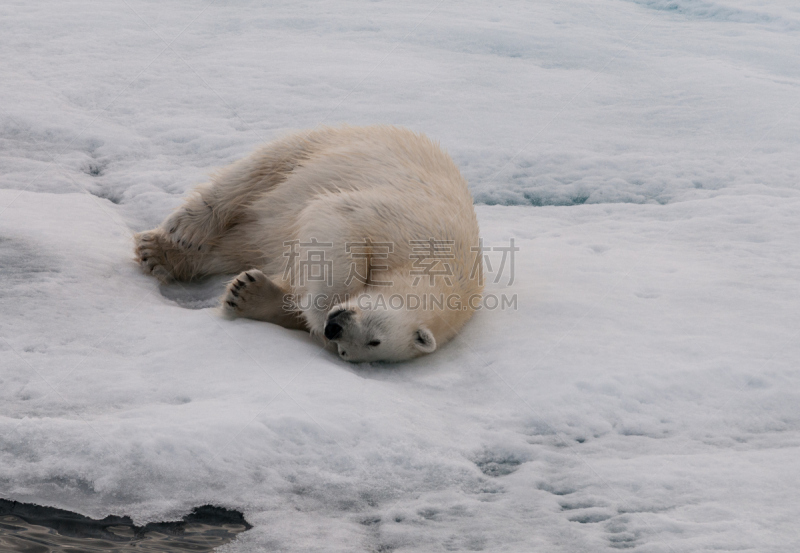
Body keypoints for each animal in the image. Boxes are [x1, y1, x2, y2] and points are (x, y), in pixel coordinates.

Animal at [134, 127, 482, 364]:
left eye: (352, 351)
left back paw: (160, 256)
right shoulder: (413, 225)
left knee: (237, 246)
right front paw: (319, 307)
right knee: (252, 175)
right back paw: (180, 231)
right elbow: (339, 223)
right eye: (376, 340)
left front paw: (248, 294)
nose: (334, 330)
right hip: (323, 148)